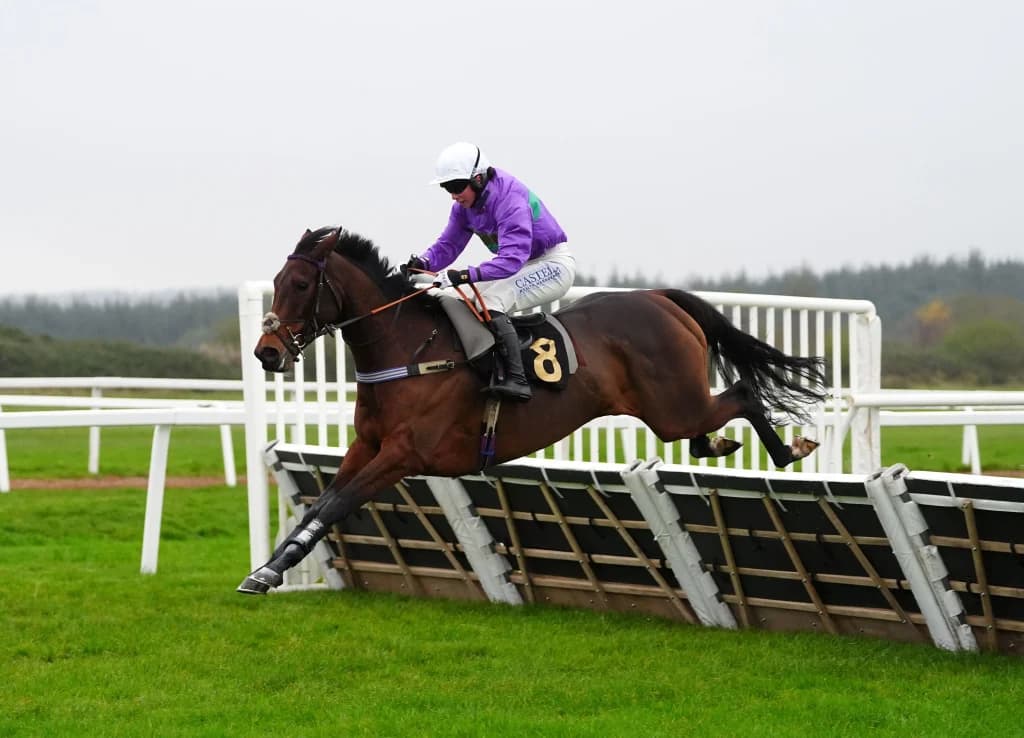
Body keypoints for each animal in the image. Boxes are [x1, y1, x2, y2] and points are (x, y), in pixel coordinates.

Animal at [238, 226, 827, 594]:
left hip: (674, 406)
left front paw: (268, 573)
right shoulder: (368, 445)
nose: (266, 353)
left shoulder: (405, 454)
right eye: (276, 282)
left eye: (300, 283)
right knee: (715, 415)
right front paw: (268, 570)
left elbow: (337, 505)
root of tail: (660, 296)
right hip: (670, 410)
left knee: (742, 393)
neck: (409, 350)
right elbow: (318, 506)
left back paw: (788, 450)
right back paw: (720, 443)